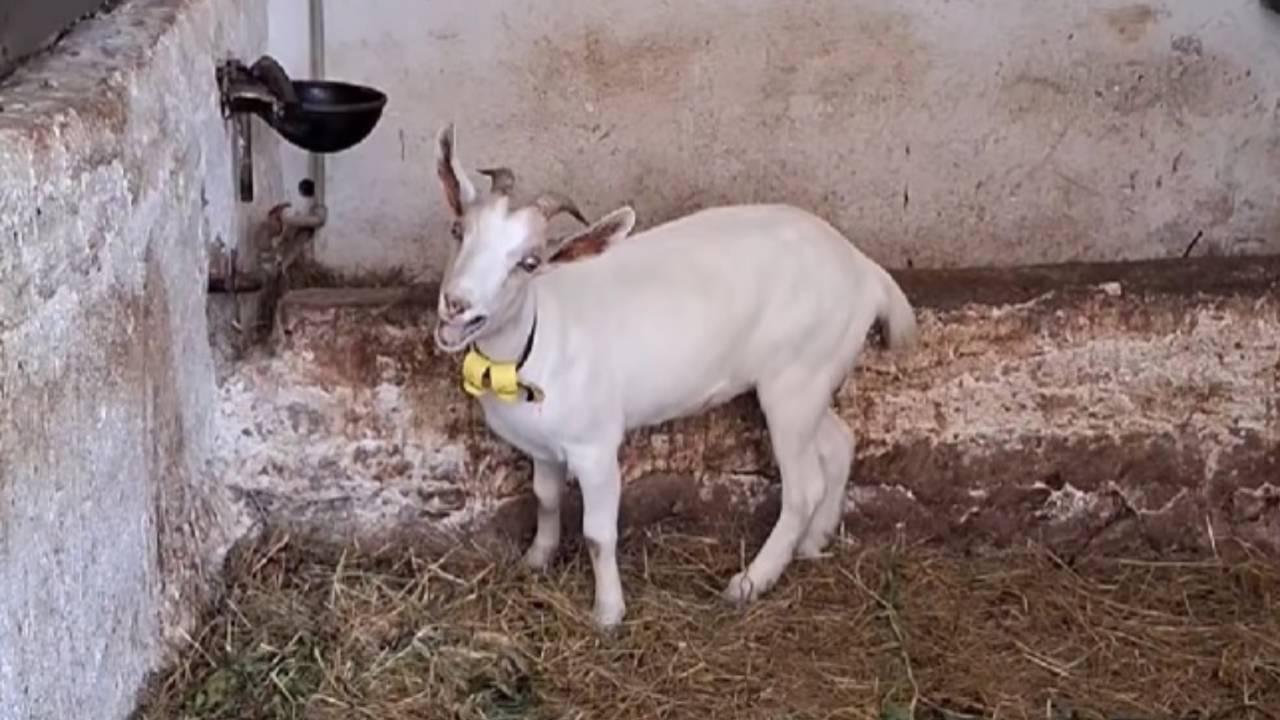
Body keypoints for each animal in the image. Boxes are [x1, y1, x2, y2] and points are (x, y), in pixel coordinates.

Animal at [431, 124, 919, 630]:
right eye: (458, 230)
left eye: (528, 263)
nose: (457, 304)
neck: (536, 335)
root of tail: (866, 271)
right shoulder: (543, 448)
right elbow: (545, 499)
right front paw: (535, 560)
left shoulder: (595, 446)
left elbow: (598, 534)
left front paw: (608, 614)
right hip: (810, 378)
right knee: (840, 442)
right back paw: (812, 542)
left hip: (794, 383)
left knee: (804, 487)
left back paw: (750, 581)